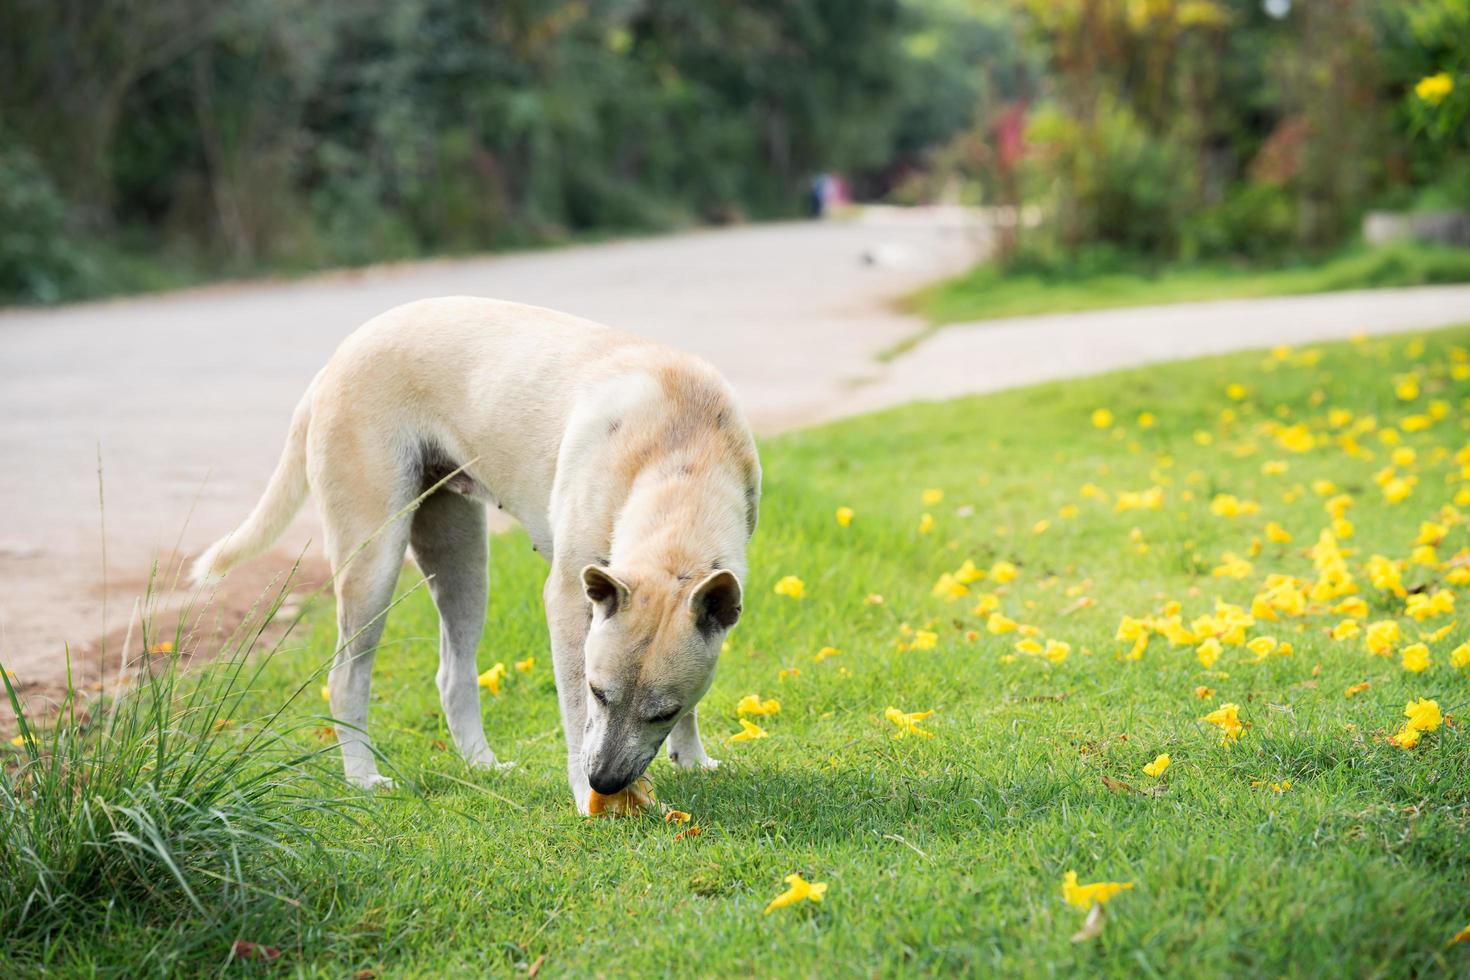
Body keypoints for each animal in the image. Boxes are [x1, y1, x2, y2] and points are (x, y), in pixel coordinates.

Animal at [192, 296, 758, 811]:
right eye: (599, 691)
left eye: (662, 713)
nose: (604, 782)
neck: (680, 451)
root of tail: (333, 364)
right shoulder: (568, 603)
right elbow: (574, 714)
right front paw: (582, 796)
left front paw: (692, 758)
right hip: (373, 563)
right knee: (345, 678)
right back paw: (363, 778)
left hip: (461, 559)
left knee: (453, 673)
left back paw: (480, 764)